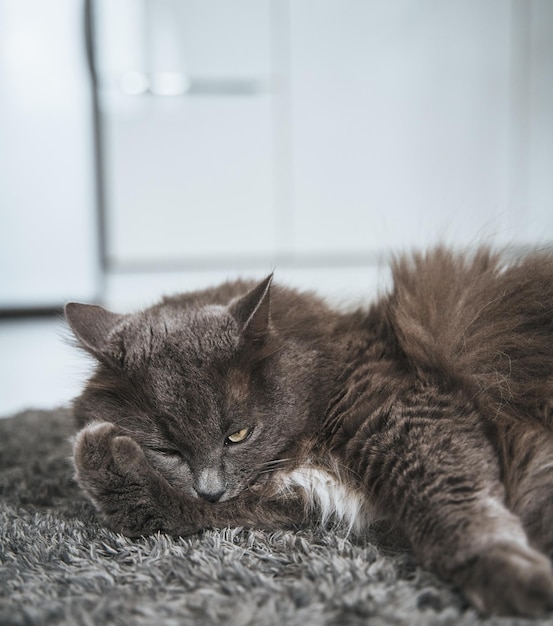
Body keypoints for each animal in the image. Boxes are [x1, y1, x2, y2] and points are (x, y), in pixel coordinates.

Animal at [66, 245, 553, 616]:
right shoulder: (287, 503)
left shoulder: (407, 412)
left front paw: (514, 579)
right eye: (167, 450)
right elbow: (173, 512)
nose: (210, 489)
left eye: (237, 435)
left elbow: (451, 503)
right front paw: (102, 458)